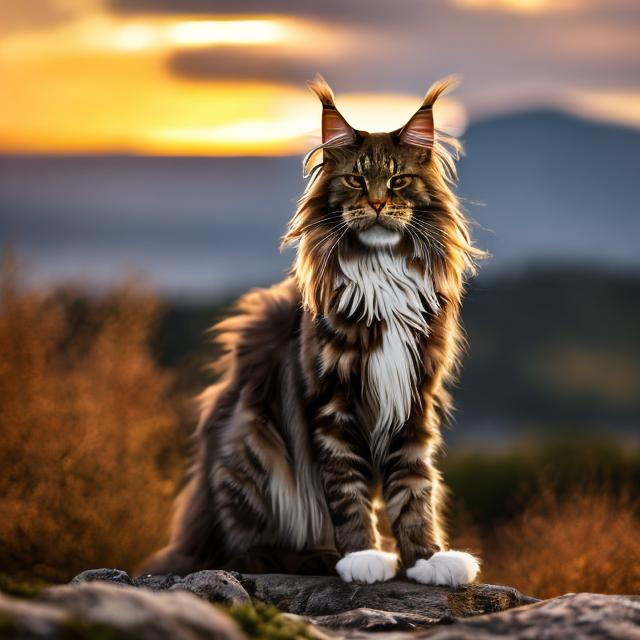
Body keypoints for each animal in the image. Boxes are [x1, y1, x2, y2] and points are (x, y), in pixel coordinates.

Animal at [142, 75, 482, 584]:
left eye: (398, 180)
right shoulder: (331, 402)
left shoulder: (413, 397)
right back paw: (315, 557)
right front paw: (362, 558)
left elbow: (414, 489)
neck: (381, 273)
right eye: (356, 179)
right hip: (252, 440)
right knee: (246, 552)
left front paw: (427, 559)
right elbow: (347, 491)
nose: (377, 202)